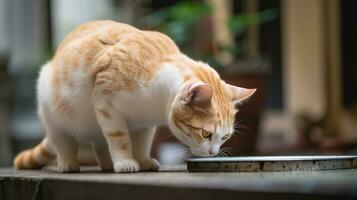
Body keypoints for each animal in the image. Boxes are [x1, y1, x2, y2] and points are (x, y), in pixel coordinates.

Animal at [12, 20, 254, 173]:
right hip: (52, 113)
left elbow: (141, 142)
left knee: (100, 144)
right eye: (205, 133)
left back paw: (107, 163)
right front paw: (126, 162)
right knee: (64, 141)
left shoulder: (144, 124)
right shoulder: (105, 104)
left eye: (224, 137)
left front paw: (142, 159)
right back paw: (68, 163)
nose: (213, 153)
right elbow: (119, 138)